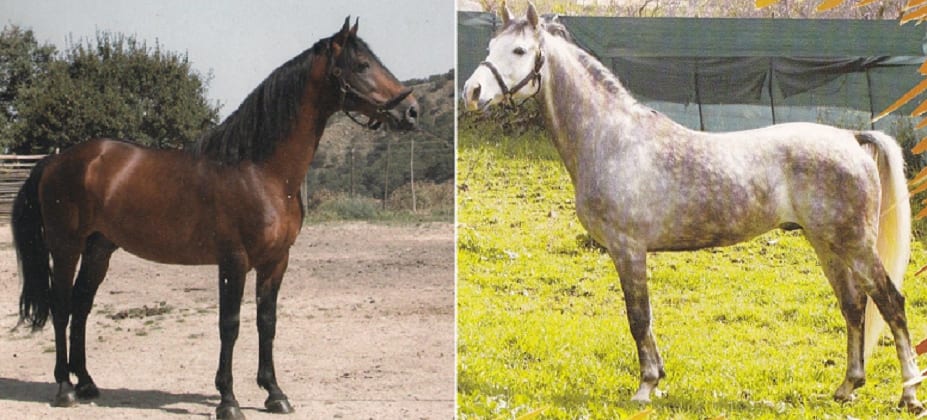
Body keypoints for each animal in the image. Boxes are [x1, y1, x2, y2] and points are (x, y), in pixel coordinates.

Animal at [13, 17, 417, 420]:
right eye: (362, 65)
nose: (411, 110)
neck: (259, 170)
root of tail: (56, 160)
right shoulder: (234, 261)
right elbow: (230, 325)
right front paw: (229, 400)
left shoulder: (276, 261)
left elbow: (266, 322)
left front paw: (274, 393)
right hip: (66, 246)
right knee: (62, 306)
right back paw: (64, 388)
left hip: (100, 249)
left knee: (81, 306)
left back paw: (86, 384)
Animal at [462, 3, 925, 413]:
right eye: (490, 46)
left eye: (519, 50)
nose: (472, 92)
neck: (611, 139)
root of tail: (851, 139)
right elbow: (643, 320)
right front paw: (656, 379)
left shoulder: (628, 250)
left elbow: (638, 317)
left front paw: (646, 387)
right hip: (827, 245)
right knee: (854, 306)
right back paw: (847, 387)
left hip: (854, 245)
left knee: (891, 302)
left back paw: (908, 396)